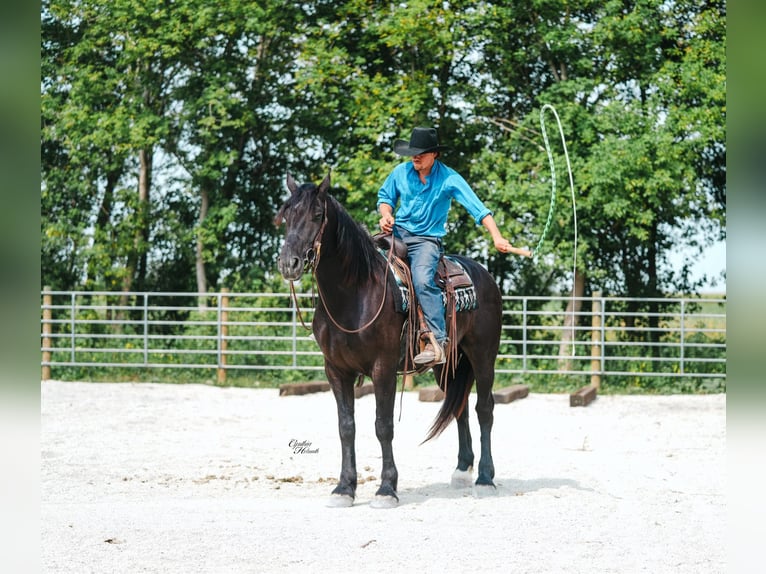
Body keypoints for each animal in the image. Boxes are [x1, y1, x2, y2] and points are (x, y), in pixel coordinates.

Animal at [275, 173, 503, 508]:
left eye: (317, 215)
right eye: (287, 215)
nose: (288, 263)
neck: (355, 293)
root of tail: (483, 275)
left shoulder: (382, 368)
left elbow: (383, 426)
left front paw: (386, 489)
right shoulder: (336, 371)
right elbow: (346, 427)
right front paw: (344, 488)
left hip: (483, 355)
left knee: (484, 408)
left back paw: (485, 479)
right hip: (447, 364)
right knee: (458, 405)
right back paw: (462, 470)